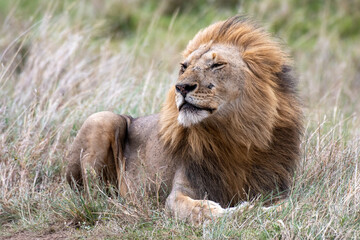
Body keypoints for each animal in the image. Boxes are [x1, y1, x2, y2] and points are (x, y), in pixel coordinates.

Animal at [66, 16, 302, 225]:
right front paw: (245, 210)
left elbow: (286, 202)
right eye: (184, 67)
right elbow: (202, 209)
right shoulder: (179, 192)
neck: (230, 135)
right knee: (94, 194)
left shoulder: (274, 186)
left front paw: (267, 209)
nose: (181, 87)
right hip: (102, 119)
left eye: (217, 64)